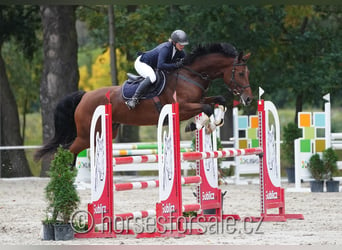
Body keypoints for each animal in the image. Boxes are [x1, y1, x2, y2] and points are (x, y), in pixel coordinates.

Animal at [34, 42, 252, 160]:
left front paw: (214, 123)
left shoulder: (199, 99)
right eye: (241, 73)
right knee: (67, 150)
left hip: (104, 131)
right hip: (86, 133)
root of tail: (85, 96)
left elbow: (218, 100)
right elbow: (206, 107)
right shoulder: (181, 107)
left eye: (246, 73)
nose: (249, 98)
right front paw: (196, 126)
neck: (191, 75)